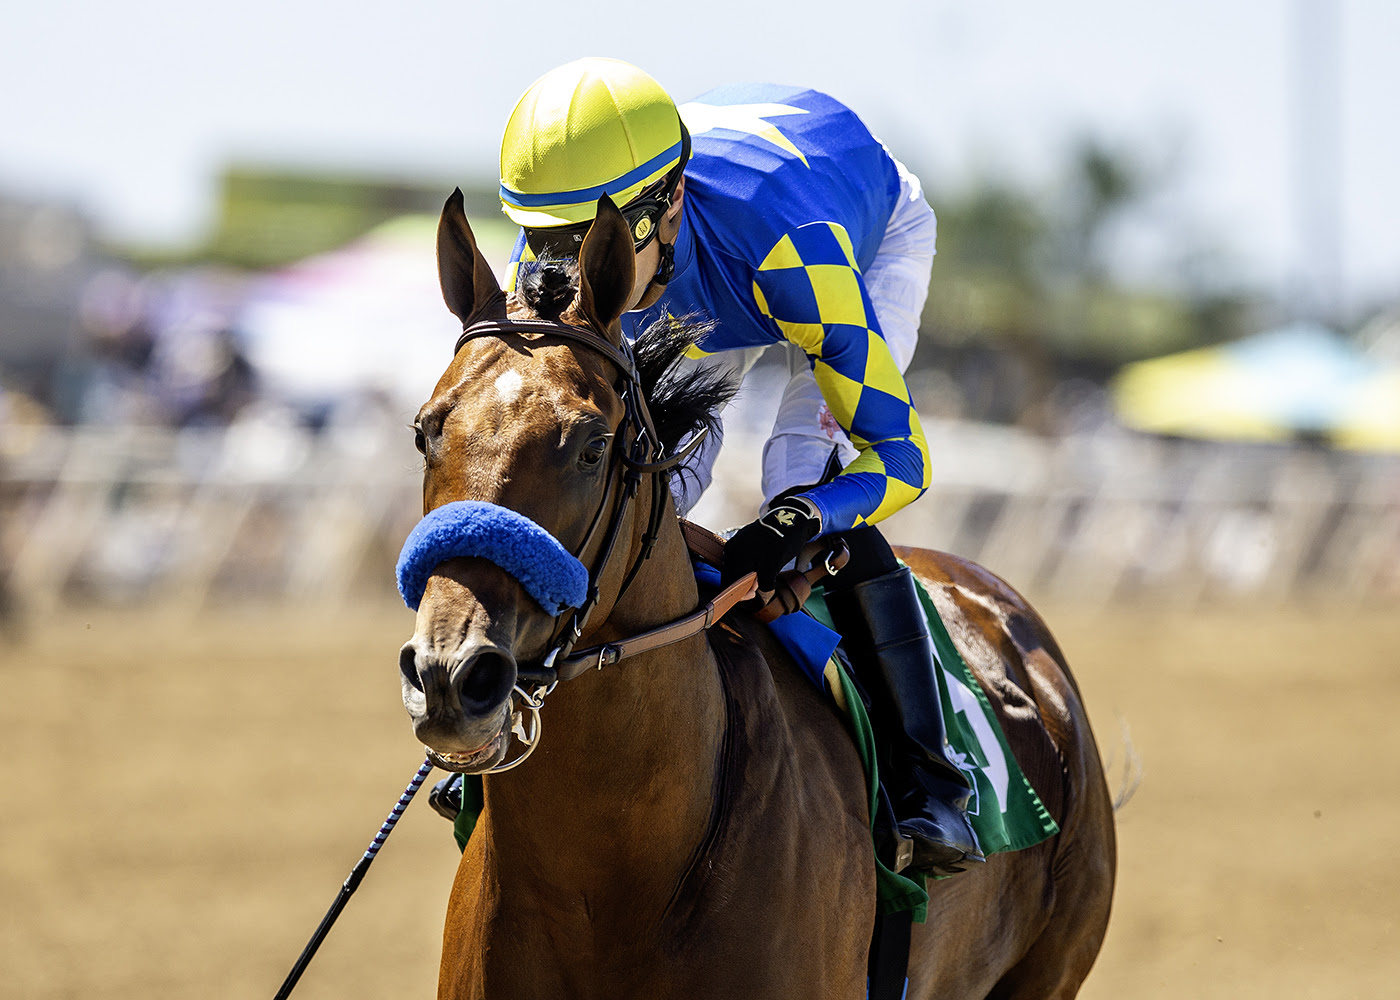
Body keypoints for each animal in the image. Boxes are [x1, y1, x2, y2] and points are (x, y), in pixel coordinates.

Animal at [396, 189, 1116, 999]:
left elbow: (897, 451)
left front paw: (765, 551)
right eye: (425, 431)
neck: (606, 882)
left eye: (590, 446)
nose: (451, 675)